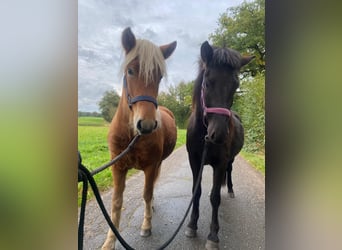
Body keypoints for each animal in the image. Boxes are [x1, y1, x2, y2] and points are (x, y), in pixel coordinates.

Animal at [101, 27, 176, 250]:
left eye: (159, 76)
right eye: (131, 71)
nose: (147, 124)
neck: (131, 137)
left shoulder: (151, 166)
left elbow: (146, 194)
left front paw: (146, 226)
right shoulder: (117, 167)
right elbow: (116, 202)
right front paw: (110, 241)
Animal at [184, 41, 254, 250]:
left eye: (236, 85)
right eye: (207, 82)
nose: (220, 134)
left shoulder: (220, 163)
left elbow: (215, 197)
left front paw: (213, 235)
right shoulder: (194, 162)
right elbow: (196, 192)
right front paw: (191, 226)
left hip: (230, 160)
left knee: (229, 173)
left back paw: (229, 190)